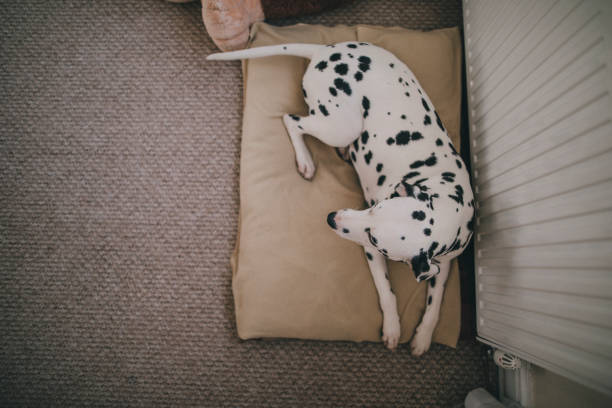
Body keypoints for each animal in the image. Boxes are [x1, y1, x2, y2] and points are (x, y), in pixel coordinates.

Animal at [208, 41, 476, 354]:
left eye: (375, 235)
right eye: (375, 208)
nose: (331, 218)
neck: (446, 197)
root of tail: (324, 50)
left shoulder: (443, 263)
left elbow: (436, 301)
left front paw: (423, 337)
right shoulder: (372, 254)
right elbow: (387, 292)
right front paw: (393, 328)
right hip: (341, 126)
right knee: (292, 120)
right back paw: (306, 160)